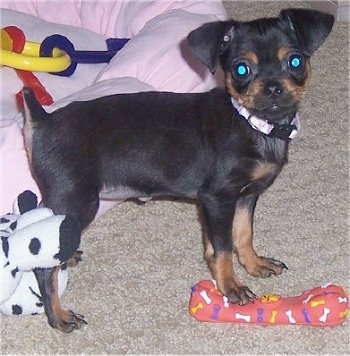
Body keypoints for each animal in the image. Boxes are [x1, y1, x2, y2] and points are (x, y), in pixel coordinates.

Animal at [21, 9, 334, 330]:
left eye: (295, 61)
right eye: (241, 69)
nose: (272, 88)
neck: (252, 123)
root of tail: (43, 120)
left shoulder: (245, 196)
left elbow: (242, 235)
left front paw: (254, 264)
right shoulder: (218, 198)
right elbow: (223, 248)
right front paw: (231, 287)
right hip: (79, 200)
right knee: (44, 267)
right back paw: (59, 316)